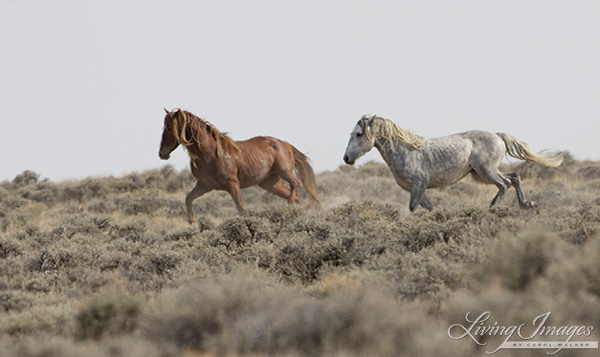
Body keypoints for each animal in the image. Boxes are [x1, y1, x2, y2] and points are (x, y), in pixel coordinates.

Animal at [157, 108, 322, 221]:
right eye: (164, 127)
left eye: (170, 128)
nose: (162, 153)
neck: (210, 153)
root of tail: (285, 144)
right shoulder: (204, 185)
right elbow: (188, 198)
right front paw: (193, 222)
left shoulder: (232, 184)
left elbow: (242, 209)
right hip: (270, 183)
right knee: (294, 193)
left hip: (284, 172)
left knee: (295, 184)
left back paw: (291, 204)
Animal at [344, 114, 564, 210]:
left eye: (359, 134)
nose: (346, 158)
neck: (405, 150)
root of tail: (498, 136)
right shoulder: (416, 188)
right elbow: (430, 208)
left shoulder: (419, 184)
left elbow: (413, 208)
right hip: (481, 173)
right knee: (515, 177)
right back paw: (526, 204)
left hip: (486, 171)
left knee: (505, 183)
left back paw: (492, 208)